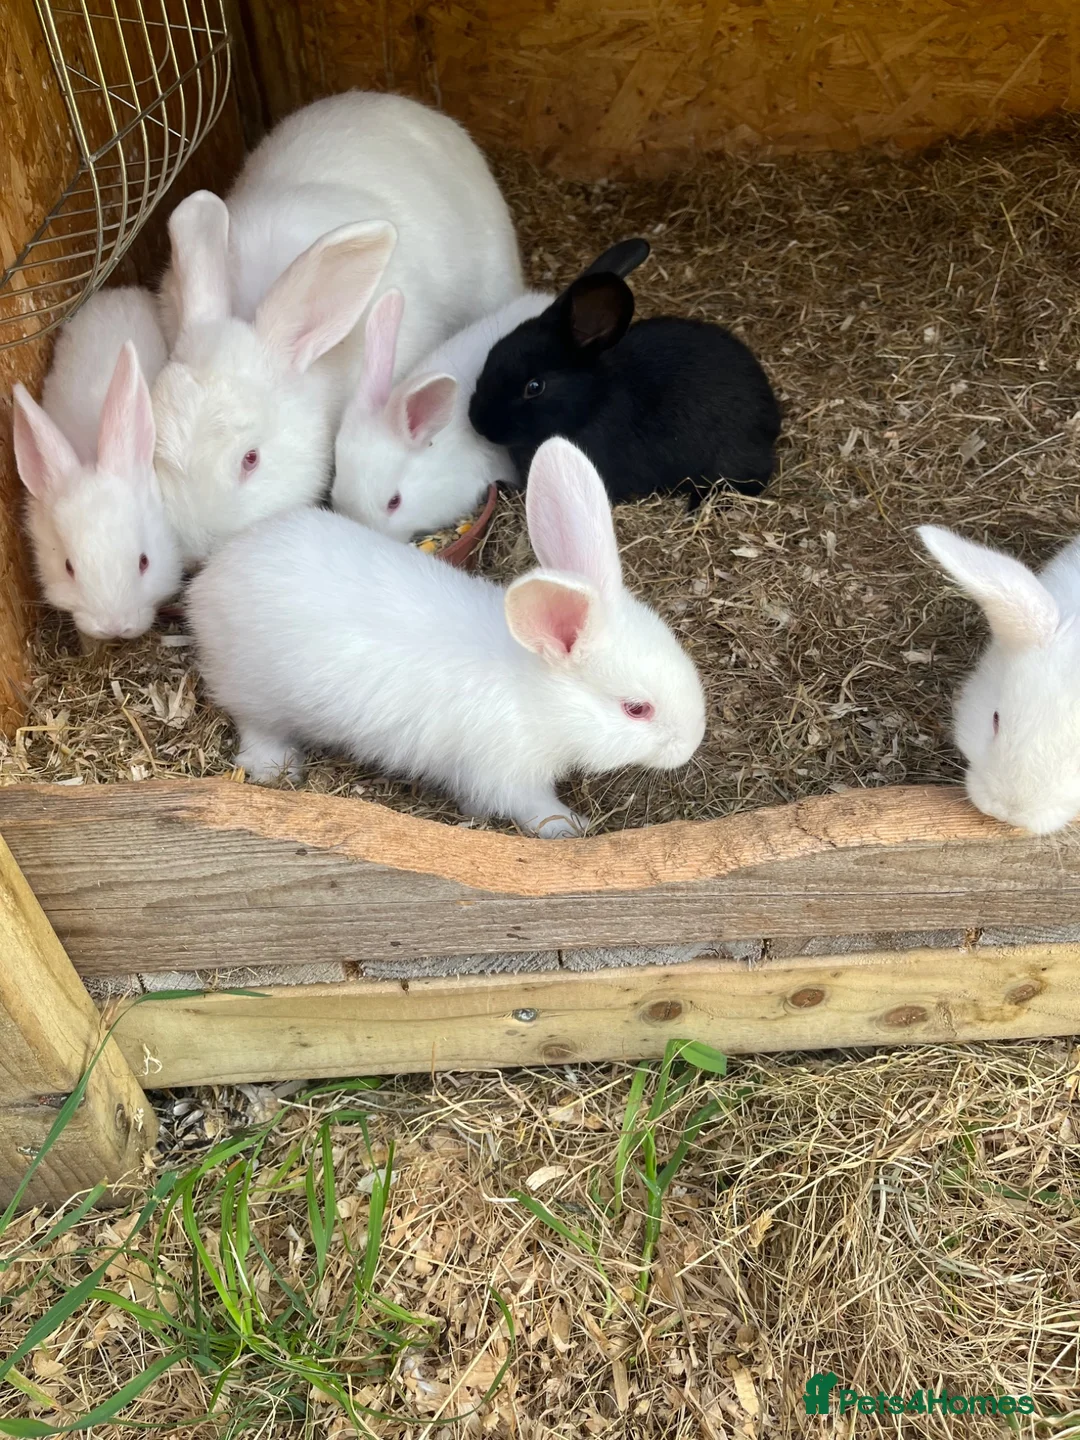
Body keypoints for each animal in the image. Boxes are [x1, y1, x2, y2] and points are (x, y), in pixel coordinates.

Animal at [187, 436, 706, 837]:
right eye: (636, 709)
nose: (690, 744)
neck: (537, 695)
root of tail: (214, 573)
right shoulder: (508, 775)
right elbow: (533, 808)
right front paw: (570, 825)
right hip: (255, 690)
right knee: (255, 725)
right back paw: (277, 765)